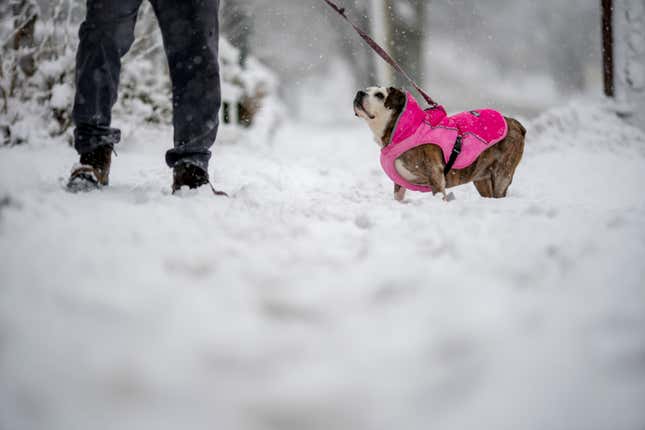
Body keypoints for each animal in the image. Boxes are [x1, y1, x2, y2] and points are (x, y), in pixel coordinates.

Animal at [354, 87, 524, 203]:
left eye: (379, 95)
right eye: (366, 89)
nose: (360, 93)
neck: (403, 129)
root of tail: (515, 123)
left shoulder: (435, 175)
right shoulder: (398, 184)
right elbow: (398, 196)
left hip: (502, 173)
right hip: (481, 177)